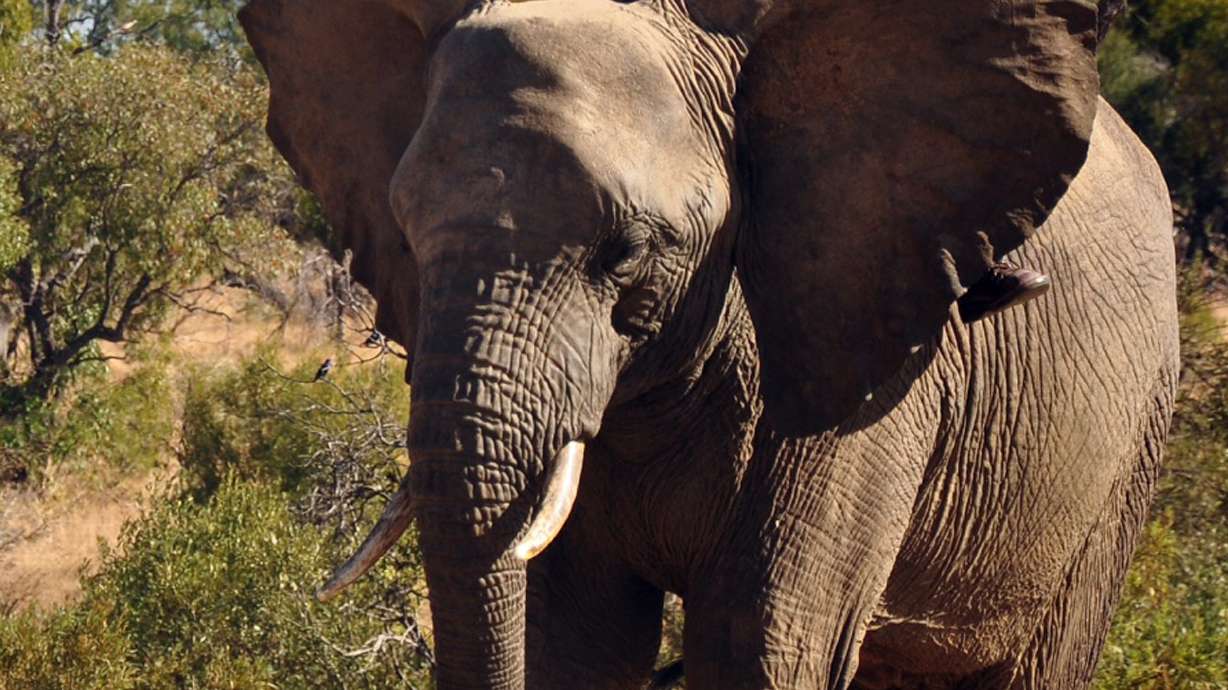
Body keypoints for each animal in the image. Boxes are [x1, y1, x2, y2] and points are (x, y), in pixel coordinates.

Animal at [239, 0, 1179, 688]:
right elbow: (575, 641)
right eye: (403, 233)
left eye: (625, 252)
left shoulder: (860, 382)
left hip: (1125, 457)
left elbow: (759, 642)